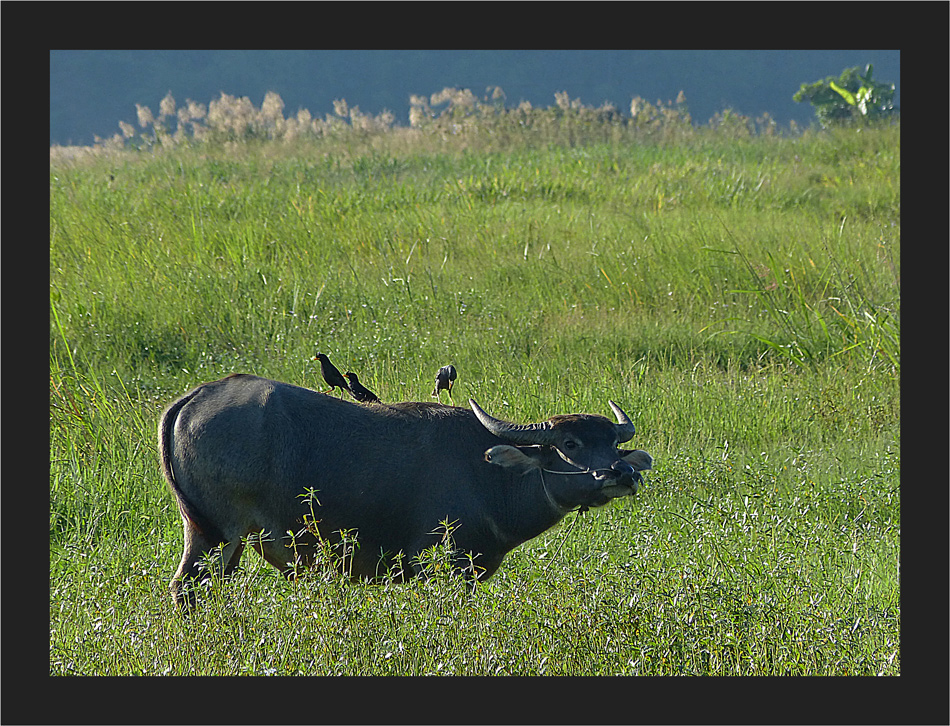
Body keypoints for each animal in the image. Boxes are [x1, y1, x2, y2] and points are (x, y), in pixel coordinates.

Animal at [164, 372, 656, 604]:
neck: (489, 476)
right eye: (570, 443)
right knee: (186, 588)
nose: (622, 474)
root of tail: (195, 397)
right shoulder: (445, 566)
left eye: (613, 442)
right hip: (215, 533)